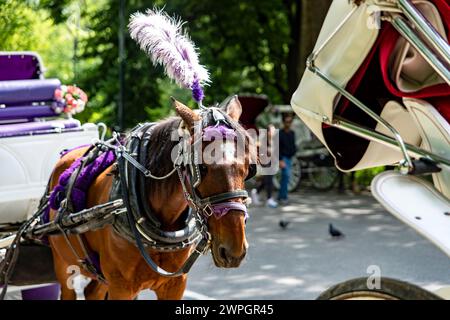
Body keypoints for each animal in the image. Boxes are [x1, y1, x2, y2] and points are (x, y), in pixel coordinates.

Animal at [47, 95, 255, 300]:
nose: (234, 251)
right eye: (202, 168)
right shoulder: (120, 287)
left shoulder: (174, 286)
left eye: (248, 168)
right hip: (63, 265)